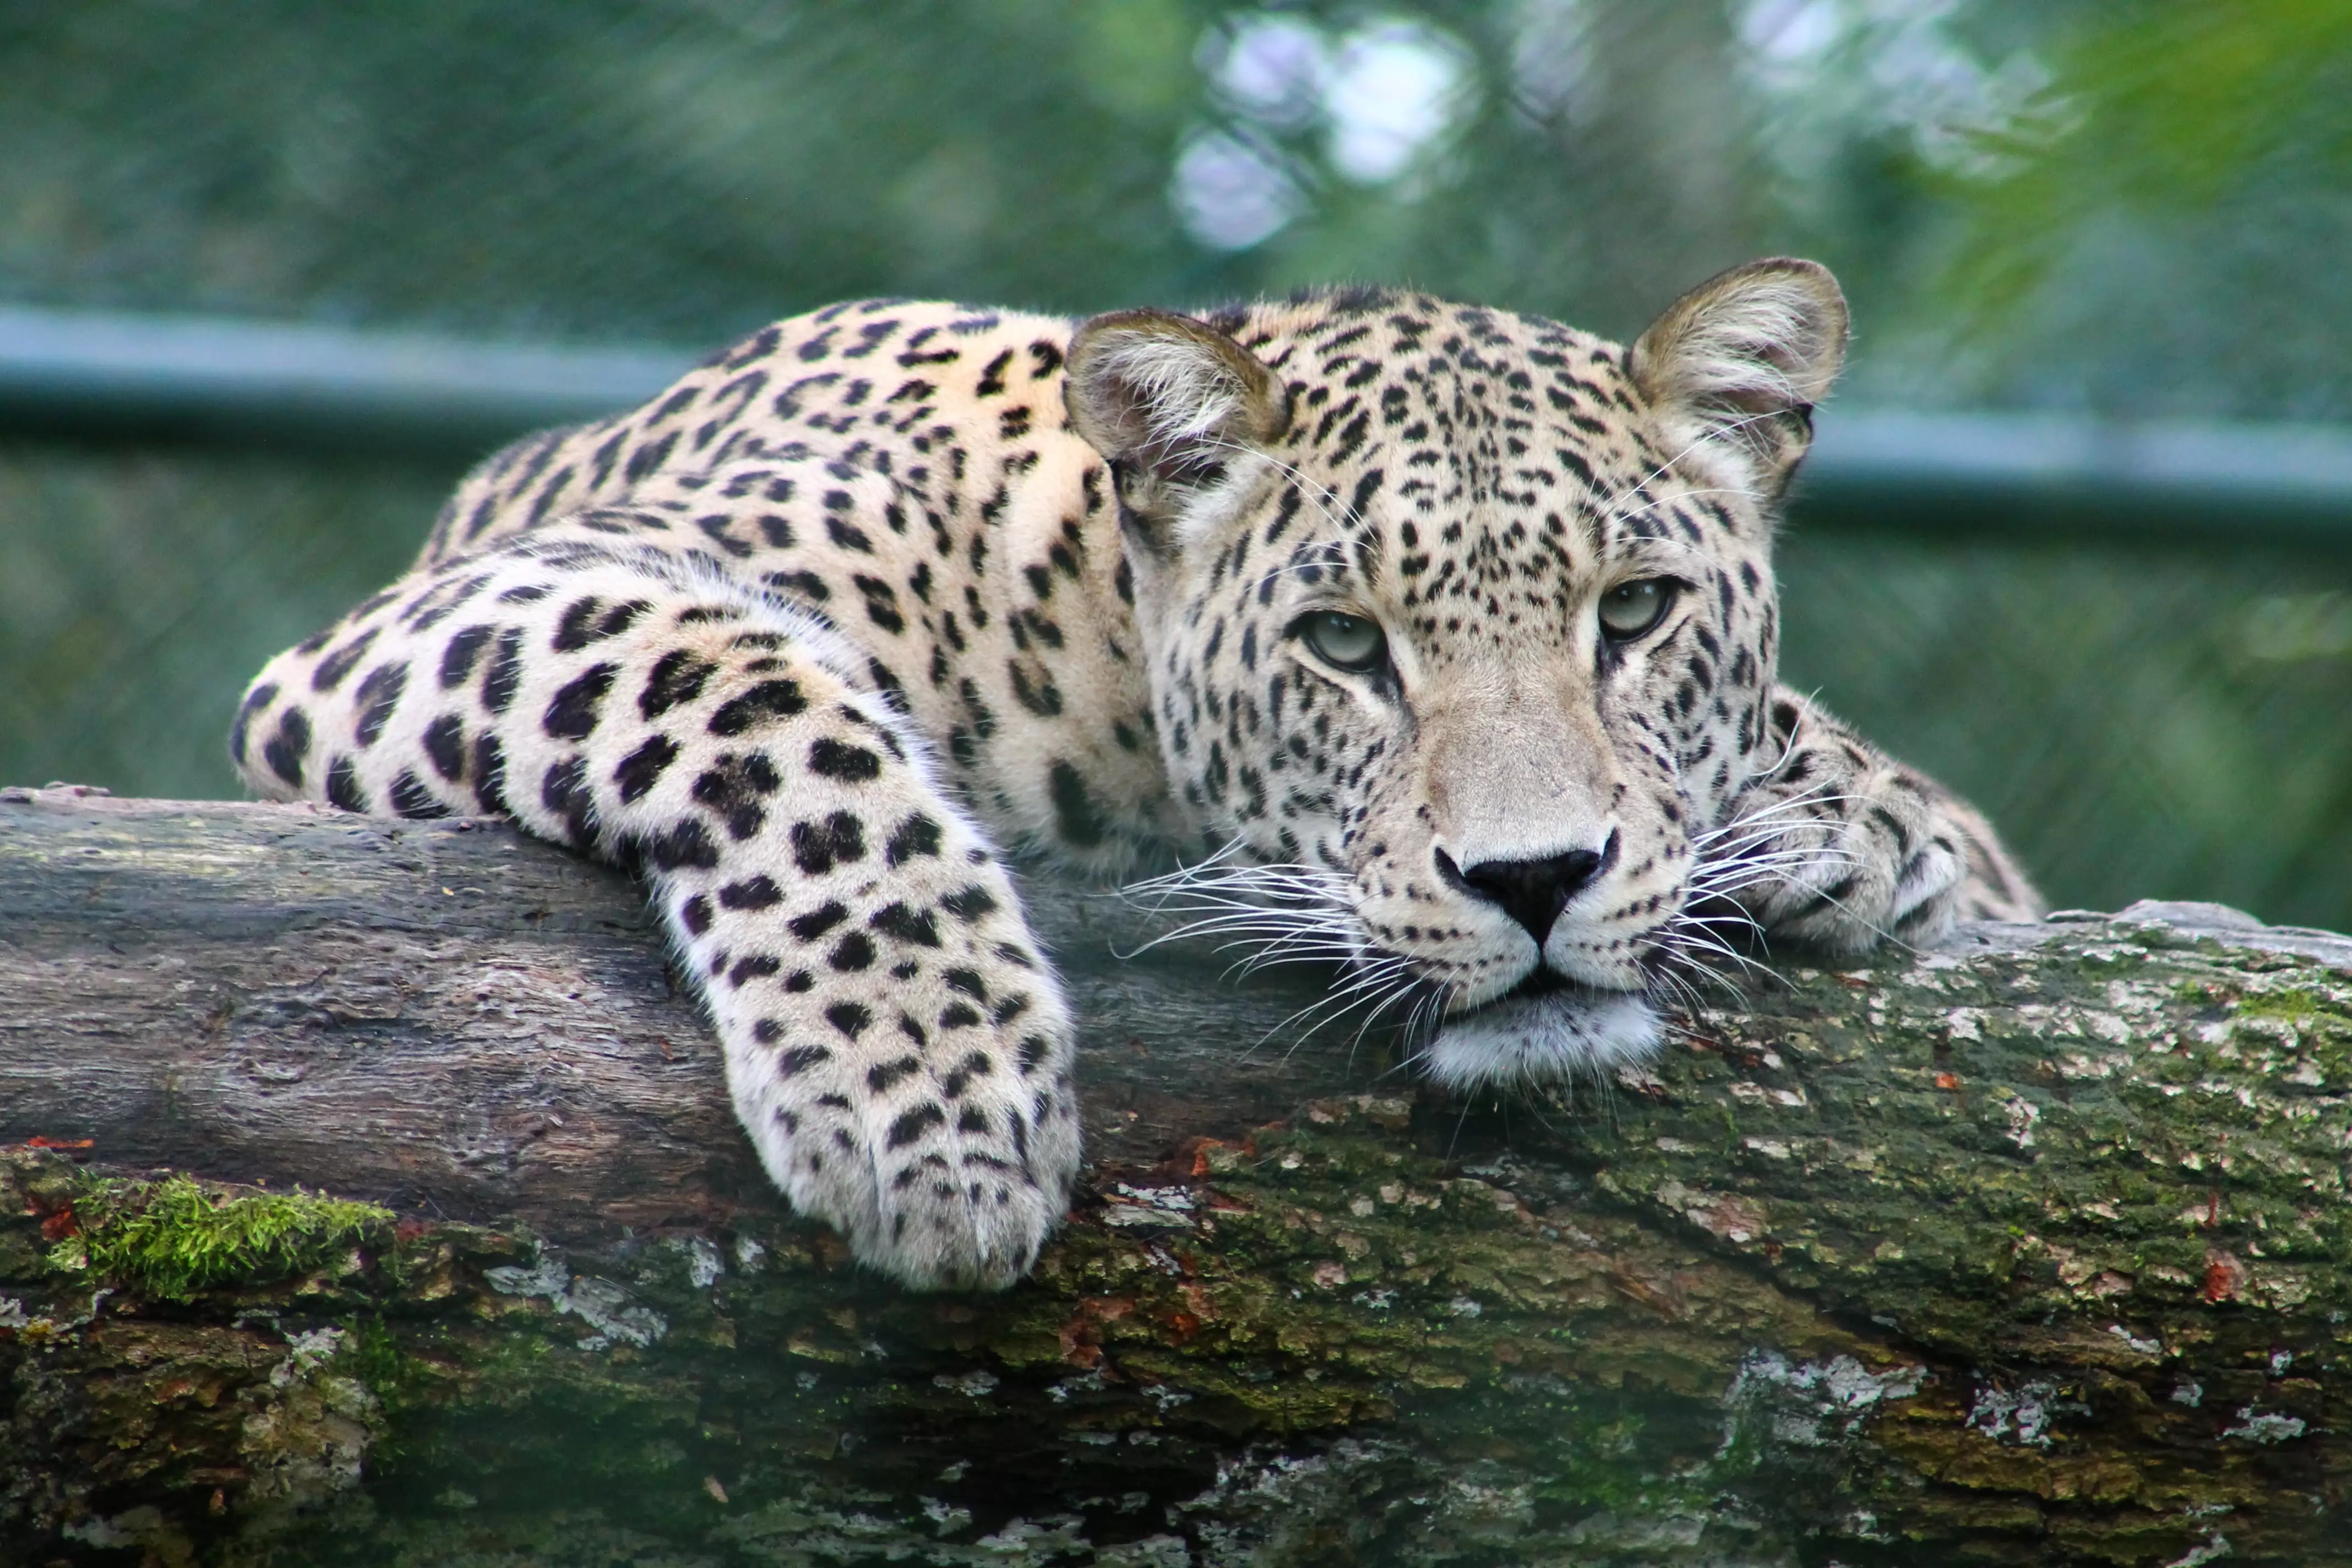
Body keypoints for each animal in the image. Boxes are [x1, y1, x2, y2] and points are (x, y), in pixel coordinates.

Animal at [234, 255, 2041, 1288]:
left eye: (1637, 611)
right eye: (1341, 643)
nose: (1533, 881)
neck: (1089, 634)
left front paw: (1852, 817)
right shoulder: (449, 616)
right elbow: (752, 691)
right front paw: (931, 1097)